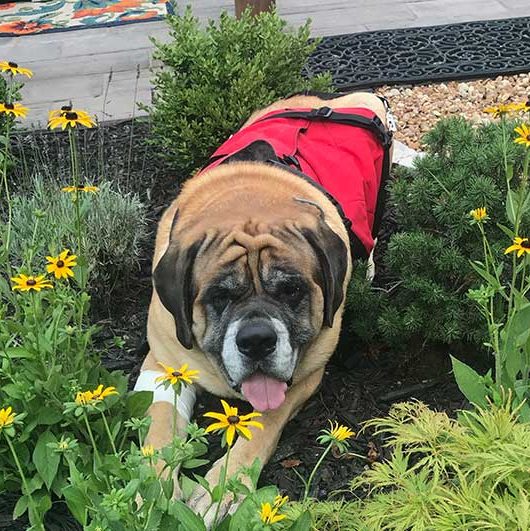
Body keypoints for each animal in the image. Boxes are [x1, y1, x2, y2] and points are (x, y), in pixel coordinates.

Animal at [134, 90, 392, 520]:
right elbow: (159, 427)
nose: (256, 340)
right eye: (220, 296)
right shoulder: (163, 364)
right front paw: (151, 493)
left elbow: (262, 425)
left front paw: (223, 489)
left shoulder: (304, 376)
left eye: (290, 290)